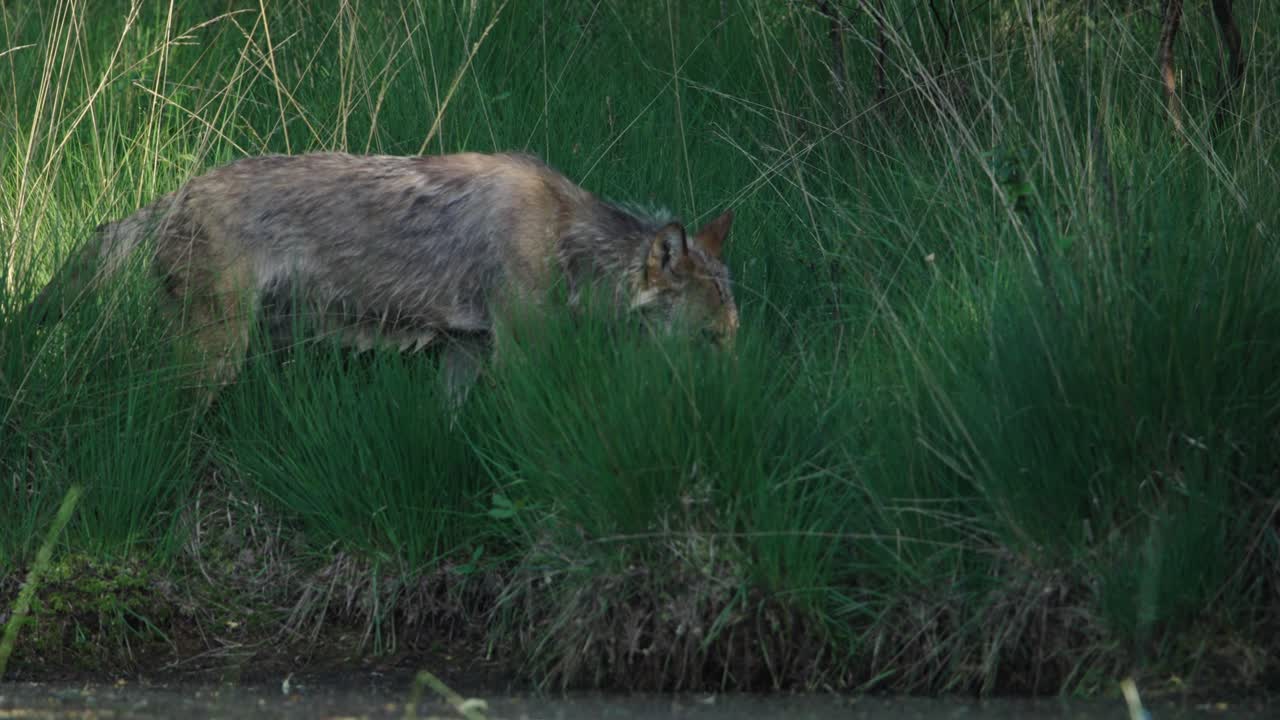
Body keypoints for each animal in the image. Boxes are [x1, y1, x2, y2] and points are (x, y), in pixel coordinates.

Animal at [25, 151, 738, 402]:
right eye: (712, 341)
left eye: (732, 339)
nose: (732, 393)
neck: (566, 237)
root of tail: (177, 194)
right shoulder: (519, 356)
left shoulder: (464, 349)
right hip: (217, 356)